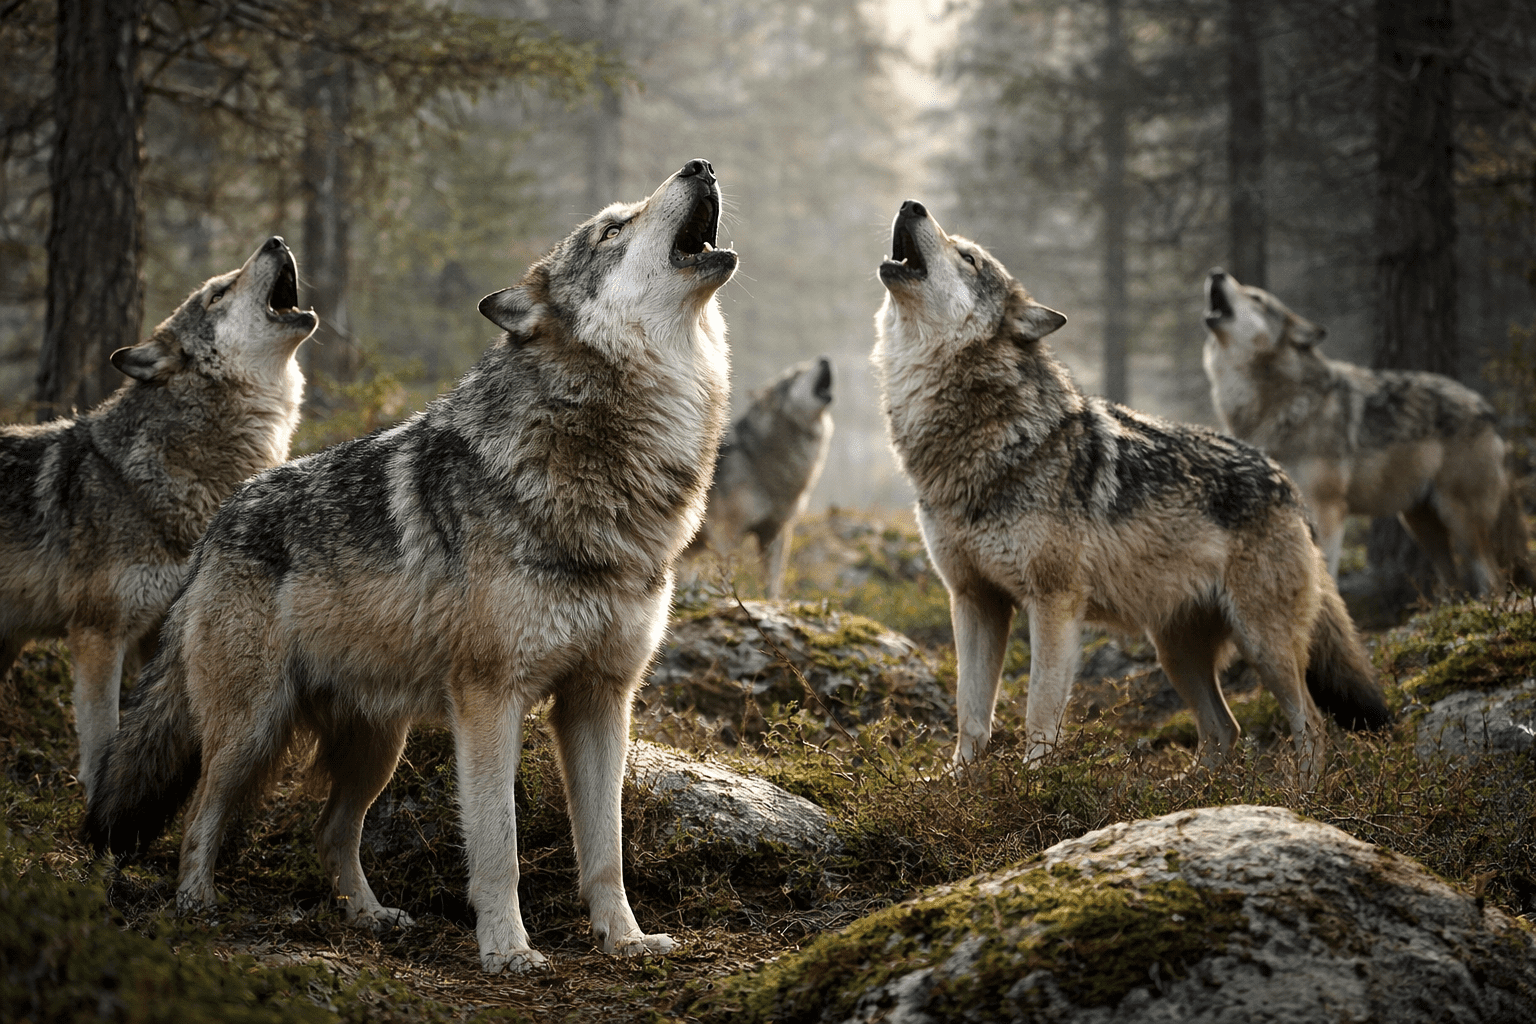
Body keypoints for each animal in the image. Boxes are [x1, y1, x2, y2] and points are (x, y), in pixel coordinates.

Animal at [84, 160, 736, 973]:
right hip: (252, 729)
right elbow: (499, 845)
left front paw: (625, 941)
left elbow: (606, 848)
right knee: (202, 815)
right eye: (613, 229)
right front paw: (508, 952)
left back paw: (371, 917)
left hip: (377, 748)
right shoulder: (489, 699)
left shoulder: (601, 700)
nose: (700, 165)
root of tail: (219, 524)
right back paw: (196, 906)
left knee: (328, 830)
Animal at [691, 357, 833, 598]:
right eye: (795, 374)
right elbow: (727, 576)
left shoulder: (776, 534)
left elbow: (773, 582)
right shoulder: (726, 534)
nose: (824, 359)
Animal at [871, 200, 1390, 783]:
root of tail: (1286, 484)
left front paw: (1032, 785)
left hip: (1264, 645)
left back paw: (1296, 794)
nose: (911, 204)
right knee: (1225, 729)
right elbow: (970, 714)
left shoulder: (1053, 603)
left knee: (1313, 728)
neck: (976, 436)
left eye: (969, 257)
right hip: (1174, 651)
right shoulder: (972, 600)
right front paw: (956, 785)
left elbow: (1038, 710)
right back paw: (1183, 790)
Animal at [1203, 269, 1532, 595]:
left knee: (1491, 577)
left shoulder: (1327, 509)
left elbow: (1325, 572)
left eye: (1255, 297)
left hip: (1460, 518)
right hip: (1419, 522)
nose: (1217, 273)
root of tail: (1486, 407)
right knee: (1454, 581)